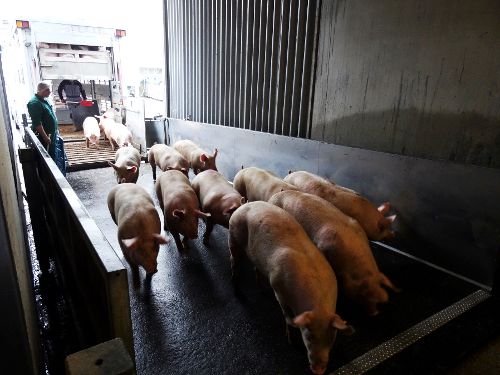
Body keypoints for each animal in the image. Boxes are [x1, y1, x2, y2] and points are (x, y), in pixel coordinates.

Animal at [229, 201, 354, 374]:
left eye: (332, 339)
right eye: (309, 336)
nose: (319, 370)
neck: (319, 306)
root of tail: (243, 205)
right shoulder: (278, 287)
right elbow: (288, 317)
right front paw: (292, 342)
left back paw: (261, 289)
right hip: (233, 238)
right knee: (234, 263)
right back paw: (238, 293)